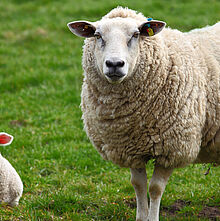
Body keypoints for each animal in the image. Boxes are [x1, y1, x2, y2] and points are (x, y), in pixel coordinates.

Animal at [67, 6, 220, 221]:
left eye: (135, 35)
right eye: (98, 35)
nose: (115, 64)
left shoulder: (172, 148)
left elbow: (155, 188)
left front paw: (153, 217)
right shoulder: (131, 147)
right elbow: (138, 185)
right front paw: (141, 216)